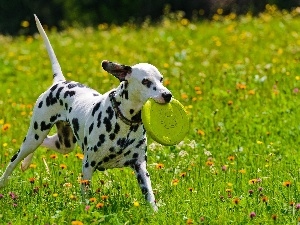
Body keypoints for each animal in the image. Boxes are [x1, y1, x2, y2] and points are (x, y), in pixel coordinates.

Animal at [0, 15, 171, 211]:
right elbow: (86, 197)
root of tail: (59, 82)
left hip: (64, 144)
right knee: (14, 161)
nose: (167, 95)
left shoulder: (140, 166)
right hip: (34, 136)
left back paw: (26, 163)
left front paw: (155, 212)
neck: (124, 123)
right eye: (146, 81)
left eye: (161, 79)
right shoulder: (88, 166)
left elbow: (150, 195)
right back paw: (7, 178)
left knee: (46, 142)